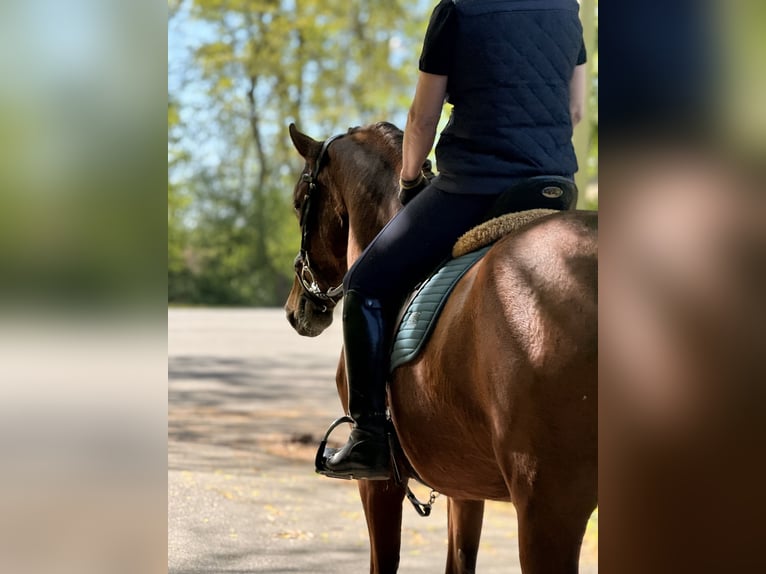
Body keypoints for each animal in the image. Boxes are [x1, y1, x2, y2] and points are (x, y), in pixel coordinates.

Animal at [284, 121, 597, 574]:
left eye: (297, 204)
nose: (296, 311)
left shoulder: (378, 484)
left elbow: (384, 561)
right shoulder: (464, 483)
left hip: (548, 506)